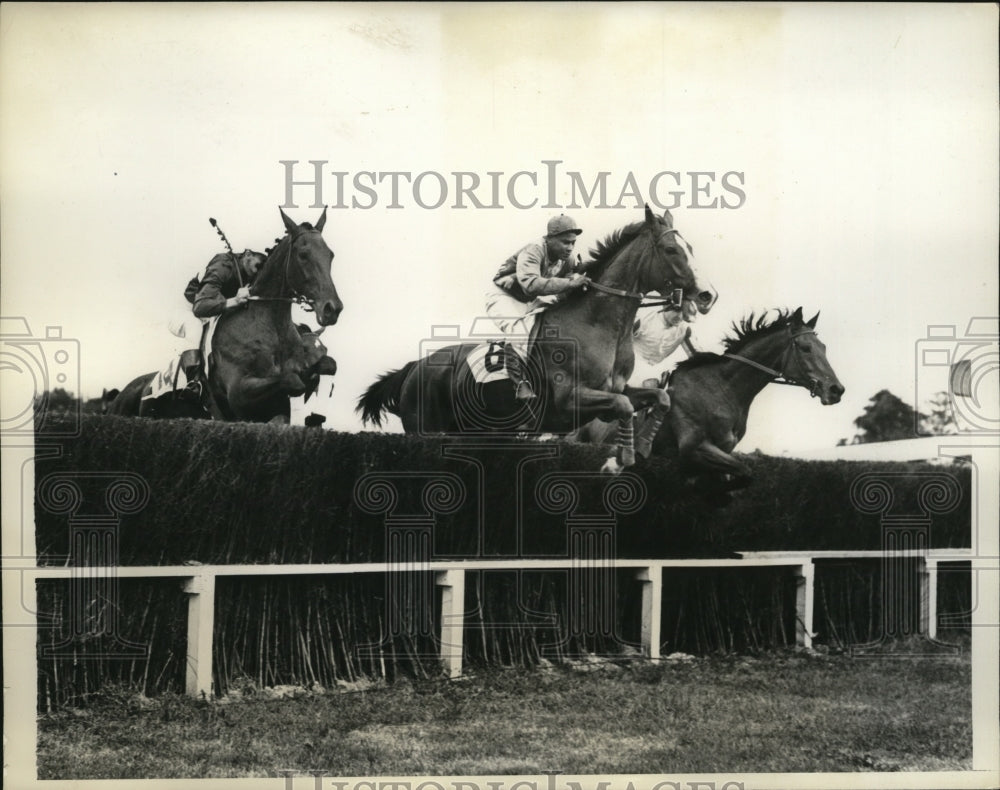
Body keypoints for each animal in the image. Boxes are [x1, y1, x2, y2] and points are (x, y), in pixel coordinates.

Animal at [108, 207, 344, 424]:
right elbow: (292, 382)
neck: (270, 330)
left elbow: (311, 374)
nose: (332, 309)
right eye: (303, 255)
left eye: (331, 255)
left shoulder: (276, 408)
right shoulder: (239, 395)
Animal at [360, 206, 720, 470]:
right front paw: (619, 461)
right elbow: (623, 406)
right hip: (427, 430)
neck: (599, 326)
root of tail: (415, 366)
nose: (707, 295)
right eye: (671, 249)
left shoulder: (616, 389)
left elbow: (659, 398)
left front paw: (642, 446)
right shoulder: (569, 399)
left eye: (690, 248)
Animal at [572, 308, 844, 482]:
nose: (836, 389)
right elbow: (743, 470)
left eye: (824, 347)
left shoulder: (722, 451)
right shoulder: (694, 447)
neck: (722, 389)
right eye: (806, 348)